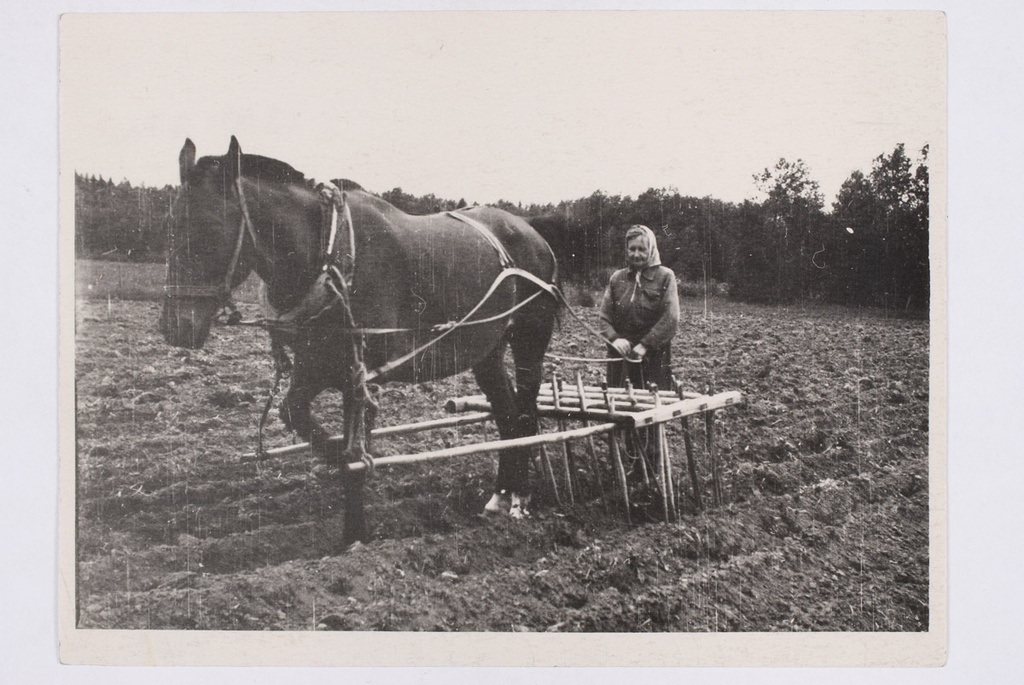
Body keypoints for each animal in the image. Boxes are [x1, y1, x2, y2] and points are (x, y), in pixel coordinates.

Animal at [160, 137, 561, 544]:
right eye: (171, 225)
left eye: (209, 228)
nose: (174, 327)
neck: (331, 258)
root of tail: (530, 229)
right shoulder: (315, 365)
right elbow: (298, 415)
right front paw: (340, 460)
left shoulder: (362, 376)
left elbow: (354, 451)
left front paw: (356, 534)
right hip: (487, 350)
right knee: (508, 415)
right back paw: (501, 496)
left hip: (530, 339)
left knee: (525, 415)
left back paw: (521, 498)